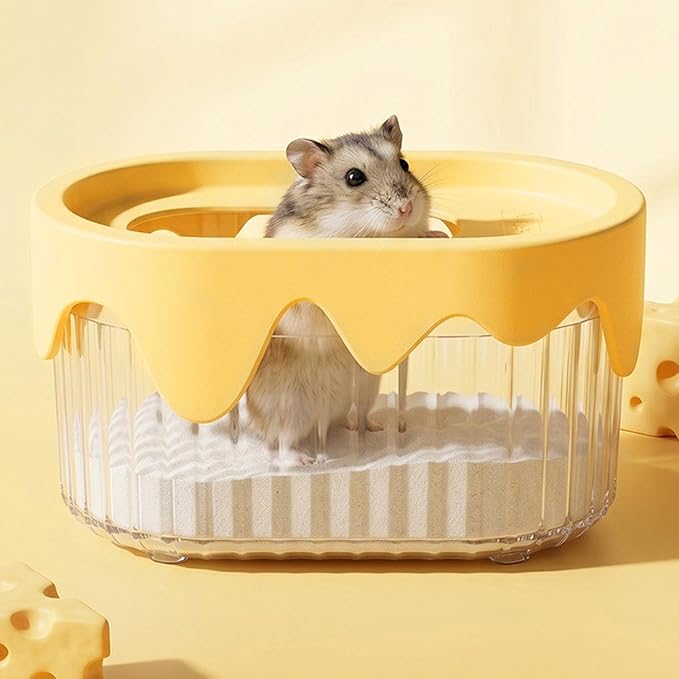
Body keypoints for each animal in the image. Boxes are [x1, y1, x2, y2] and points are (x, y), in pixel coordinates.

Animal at [246, 115, 446, 467]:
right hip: (287, 409)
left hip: (365, 388)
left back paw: (373, 427)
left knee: (356, 417)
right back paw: (305, 460)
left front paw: (435, 235)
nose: (407, 208)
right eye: (354, 177)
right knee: (282, 441)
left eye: (405, 164)